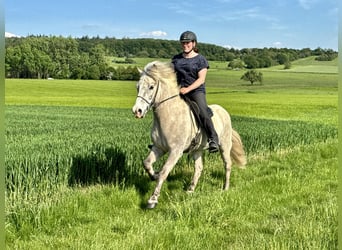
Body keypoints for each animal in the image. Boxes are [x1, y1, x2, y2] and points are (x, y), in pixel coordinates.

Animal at [132, 61, 247, 209]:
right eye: (138, 87)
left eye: (151, 87)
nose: (137, 111)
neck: (168, 116)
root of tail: (224, 111)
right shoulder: (159, 148)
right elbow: (146, 163)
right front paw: (154, 176)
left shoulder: (176, 151)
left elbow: (164, 171)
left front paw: (153, 199)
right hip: (197, 150)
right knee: (198, 168)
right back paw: (190, 190)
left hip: (225, 146)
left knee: (227, 165)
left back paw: (225, 188)